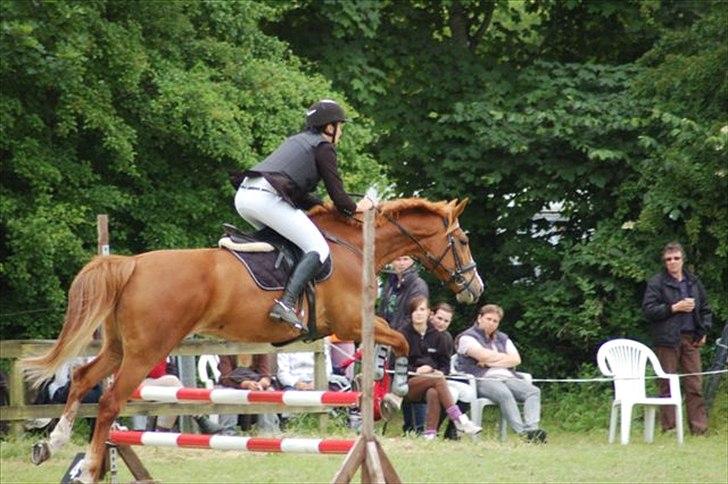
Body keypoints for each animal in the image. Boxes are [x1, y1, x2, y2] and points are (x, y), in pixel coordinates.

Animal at [19, 197, 484, 480]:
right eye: (462, 239)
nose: (474, 289)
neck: (354, 246)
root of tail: (129, 265)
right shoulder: (353, 324)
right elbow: (401, 341)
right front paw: (394, 392)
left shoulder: (356, 325)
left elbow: (391, 343)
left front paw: (377, 393)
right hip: (147, 351)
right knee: (111, 401)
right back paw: (88, 467)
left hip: (119, 347)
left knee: (83, 380)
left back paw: (52, 445)